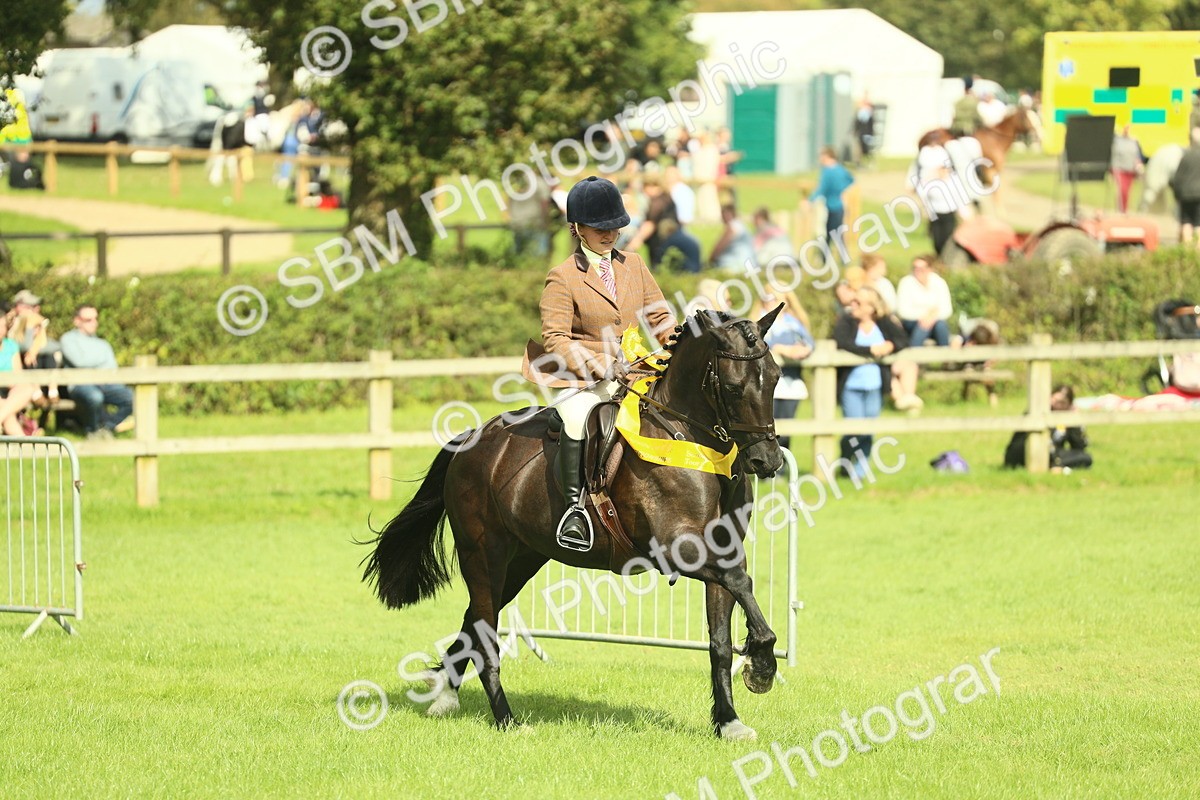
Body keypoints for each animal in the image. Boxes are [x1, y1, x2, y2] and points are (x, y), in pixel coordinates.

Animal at [361, 307, 786, 739]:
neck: (690, 442)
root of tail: (472, 440)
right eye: (733, 387)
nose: (767, 462)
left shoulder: (722, 547)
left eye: (775, 377)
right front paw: (762, 665)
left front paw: (729, 721)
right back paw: (507, 720)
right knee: (485, 634)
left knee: (474, 621)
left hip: (522, 560)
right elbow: (740, 582)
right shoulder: (677, 548)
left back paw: (446, 697)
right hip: (483, 554)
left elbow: (721, 638)